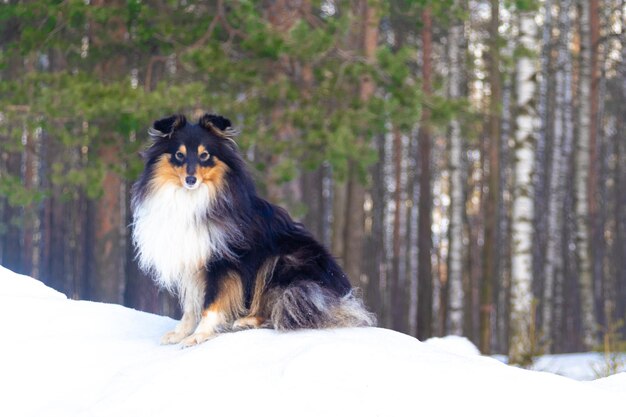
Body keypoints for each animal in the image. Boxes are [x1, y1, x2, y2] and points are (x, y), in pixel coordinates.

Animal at [130, 113, 376, 344]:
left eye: (205, 155)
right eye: (179, 155)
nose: (191, 180)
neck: (192, 198)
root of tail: (342, 296)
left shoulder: (223, 262)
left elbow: (211, 304)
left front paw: (197, 336)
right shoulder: (191, 261)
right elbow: (191, 306)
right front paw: (180, 333)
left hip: (282, 262)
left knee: (286, 308)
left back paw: (247, 321)